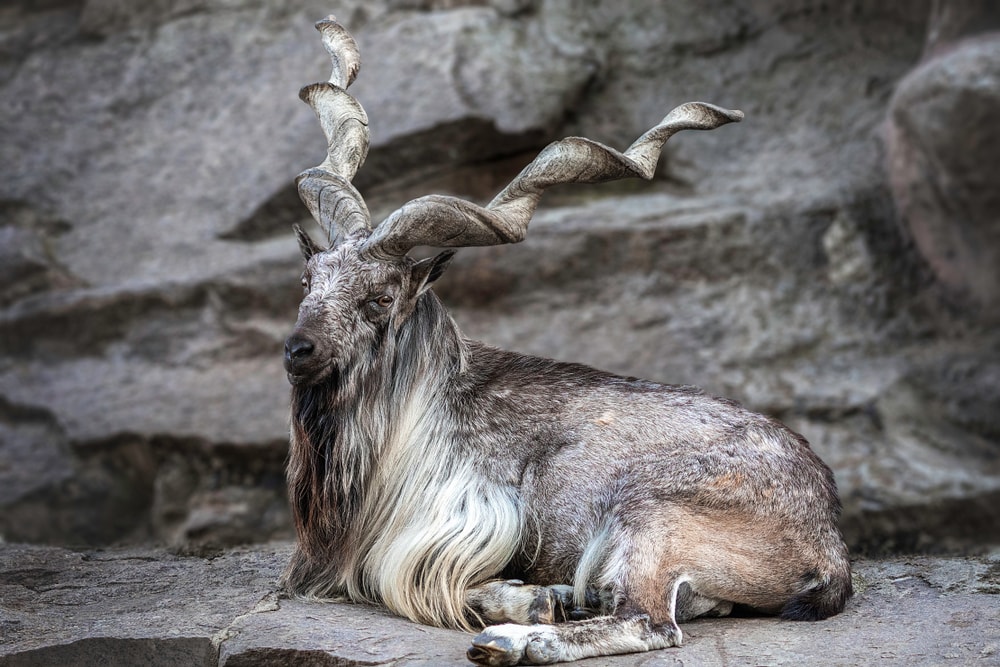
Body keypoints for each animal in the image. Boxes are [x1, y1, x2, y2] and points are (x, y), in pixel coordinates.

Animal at [281, 17, 852, 666]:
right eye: (308, 280)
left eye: (379, 298)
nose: (299, 350)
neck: (423, 408)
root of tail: (827, 541)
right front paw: (540, 595)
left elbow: (399, 580)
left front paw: (527, 602)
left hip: (651, 515)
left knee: (649, 621)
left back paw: (513, 639)